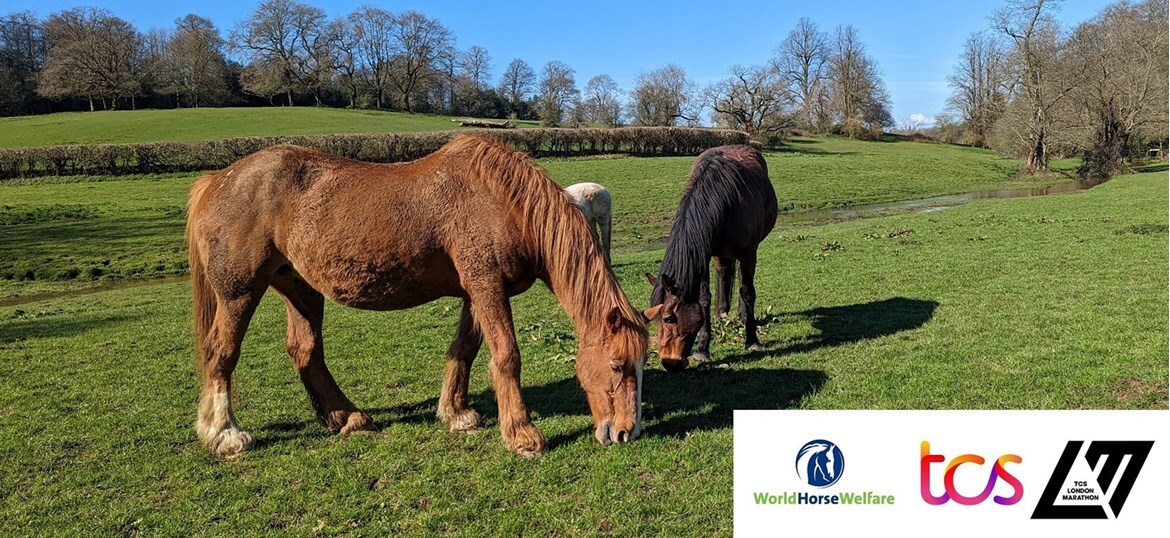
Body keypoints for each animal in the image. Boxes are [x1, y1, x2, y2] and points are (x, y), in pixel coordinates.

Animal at [186, 134, 649, 459]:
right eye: (616, 364)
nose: (625, 432)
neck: (503, 203)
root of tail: (217, 179)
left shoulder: (475, 292)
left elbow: (464, 349)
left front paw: (457, 414)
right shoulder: (487, 287)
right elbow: (506, 355)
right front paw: (522, 435)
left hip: (300, 289)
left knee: (305, 351)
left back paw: (346, 418)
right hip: (239, 292)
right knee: (220, 353)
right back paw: (225, 434)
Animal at [642, 144, 777, 372]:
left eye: (668, 318)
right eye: (657, 320)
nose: (670, 363)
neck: (726, 201)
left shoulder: (749, 252)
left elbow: (748, 292)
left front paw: (752, 340)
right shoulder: (702, 254)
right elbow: (704, 298)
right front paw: (703, 349)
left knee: (742, 282)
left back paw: (742, 315)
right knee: (723, 273)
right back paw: (721, 313)